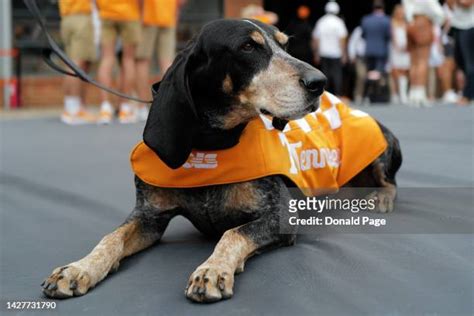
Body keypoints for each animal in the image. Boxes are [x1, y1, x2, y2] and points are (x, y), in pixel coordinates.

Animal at [42, 19, 402, 302]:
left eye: (285, 45)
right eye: (248, 47)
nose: (320, 83)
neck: (210, 147)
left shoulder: (280, 217)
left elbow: (233, 233)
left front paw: (212, 270)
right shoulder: (149, 217)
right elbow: (111, 238)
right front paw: (79, 268)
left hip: (380, 145)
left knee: (390, 181)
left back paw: (379, 197)